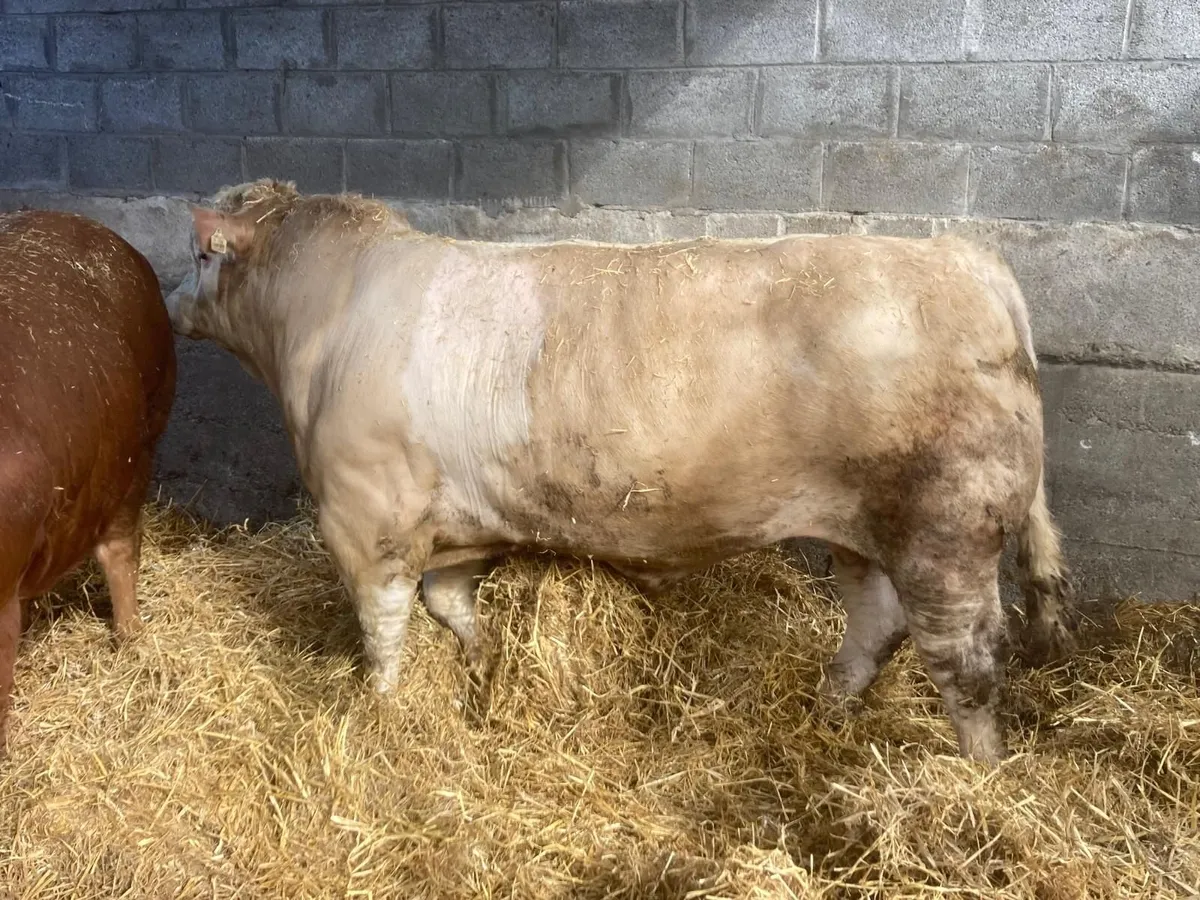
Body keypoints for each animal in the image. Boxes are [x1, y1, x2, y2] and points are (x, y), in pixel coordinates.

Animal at [165, 179, 1074, 764]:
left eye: (202, 254)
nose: (172, 301)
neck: (322, 320)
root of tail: (966, 257)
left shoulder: (364, 518)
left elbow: (384, 629)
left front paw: (381, 709)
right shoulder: (453, 527)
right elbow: (450, 603)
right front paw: (484, 667)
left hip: (947, 529)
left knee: (966, 663)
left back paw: (981, 779)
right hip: (859, 526)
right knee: (876, 623)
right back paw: (827, 709)